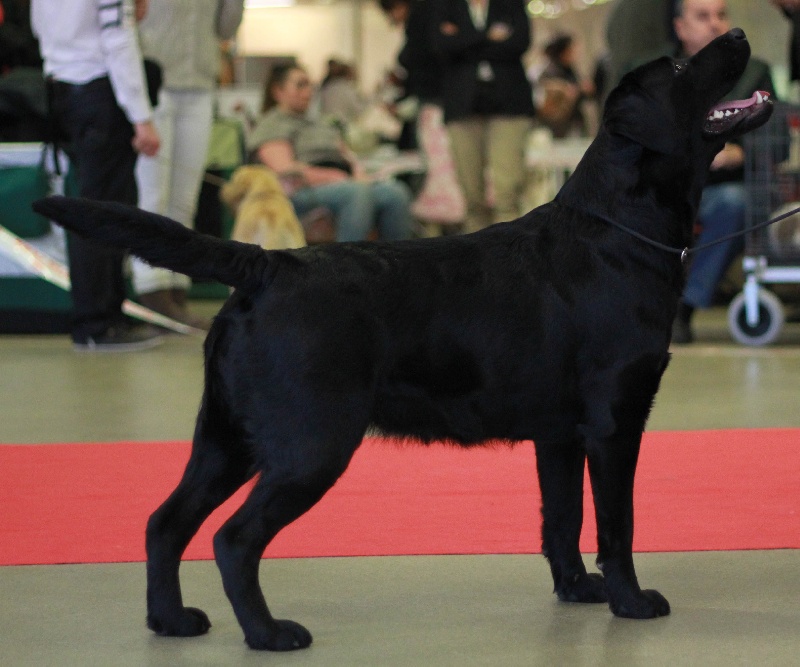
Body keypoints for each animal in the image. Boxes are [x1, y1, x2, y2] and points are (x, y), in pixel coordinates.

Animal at [32, 30, 776, 652]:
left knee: (165, 521)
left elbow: (561, 520)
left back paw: (170, 619)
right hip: (311, 444)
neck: (619, 229)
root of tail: (268, 263)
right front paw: (630, 600)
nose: (741, 31)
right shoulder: (614, 421)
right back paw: (269, 633)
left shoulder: (559, 434)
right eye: (678, 68)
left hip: (226, 435)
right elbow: (617, 524)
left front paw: (577, 590)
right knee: (233, 538)